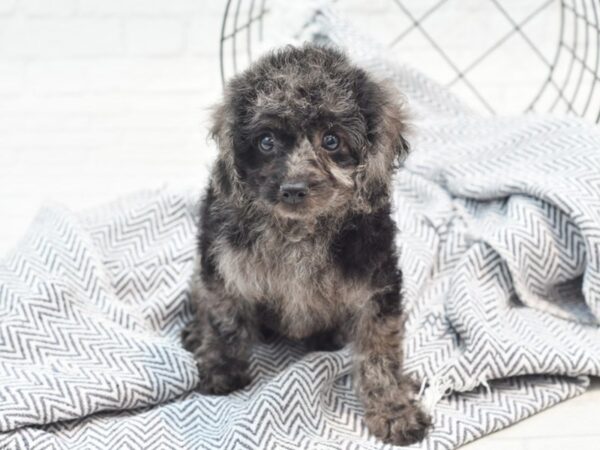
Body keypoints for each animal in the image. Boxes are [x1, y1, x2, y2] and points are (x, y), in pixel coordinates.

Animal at [183, 44, 432, 444]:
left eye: (331, 140)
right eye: (266, 141)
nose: (294, 189)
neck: (300, 232)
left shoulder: (377, 286)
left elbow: (381, 351)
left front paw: (394, 409)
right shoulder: (224, 263)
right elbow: (225, 318)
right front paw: (223, 367)